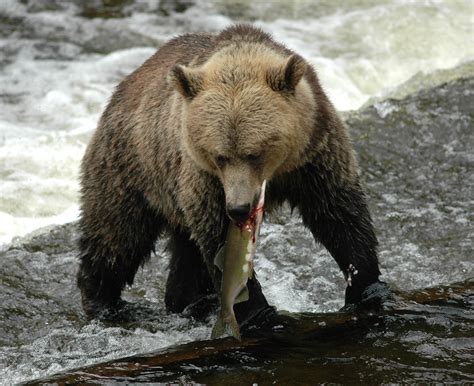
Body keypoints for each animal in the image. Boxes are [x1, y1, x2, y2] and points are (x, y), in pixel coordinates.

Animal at [78, 24, 382, 326]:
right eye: (219, 156)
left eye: (255, 153)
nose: (238, 208)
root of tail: (124, 86)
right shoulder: (205, 178)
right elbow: (217, 238)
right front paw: (259, 312)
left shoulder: (314, 154)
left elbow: (338, 213)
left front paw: (367, 287)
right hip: (131, 167)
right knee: (117, 235)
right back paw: (103, 300)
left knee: (185, 252)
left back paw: (190, 300)